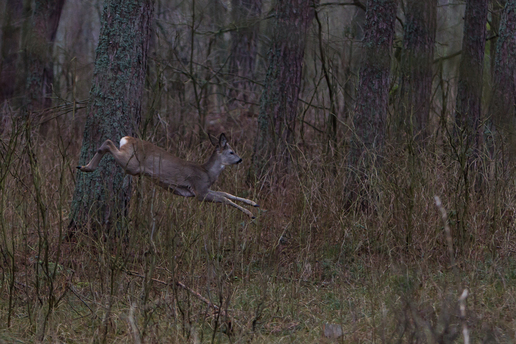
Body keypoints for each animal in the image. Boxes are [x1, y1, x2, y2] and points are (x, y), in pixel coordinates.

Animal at [77, 134, 260, 218]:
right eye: (232, 152)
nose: (240, 159)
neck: (207, 173)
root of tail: (127, 138)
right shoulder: (199, 191)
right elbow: (224, 199)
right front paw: (250, 214)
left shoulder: (202, 189)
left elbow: (227, 194)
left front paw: (254, 203)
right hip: (132, 165)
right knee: (108, 142)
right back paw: (87, 167)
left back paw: (84, 166)